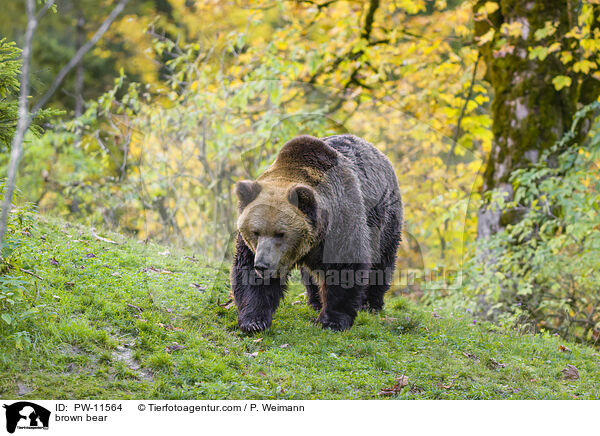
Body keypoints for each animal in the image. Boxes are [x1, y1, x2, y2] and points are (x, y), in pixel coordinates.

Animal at [232, 135, 400, 332]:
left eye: (280, 233)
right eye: (256, 232)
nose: (263, 265)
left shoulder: (341, 222)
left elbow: (345, 268)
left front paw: (332, 321)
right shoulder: (251, 248)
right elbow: (248, 272)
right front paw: (254, 321)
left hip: (385, 220)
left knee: (382, 262)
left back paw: (371, 304)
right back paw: (315, 301)